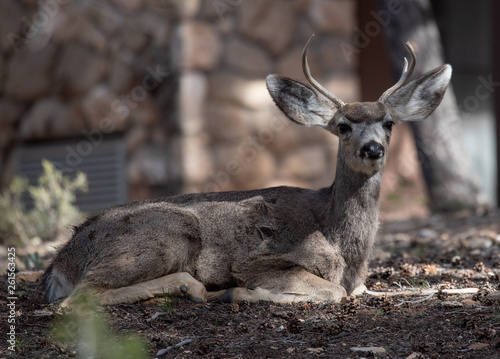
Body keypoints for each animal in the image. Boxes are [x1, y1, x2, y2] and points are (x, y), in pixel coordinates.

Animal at [41, 37, 452, 306]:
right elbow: (333, 291)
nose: (373, 149)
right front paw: (245, 291)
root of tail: (60, 263)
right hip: (166, 233)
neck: (342, 244)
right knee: (78, 299)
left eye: (389, 123)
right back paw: (195, 288)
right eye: (343, 126)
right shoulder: (259, 260)